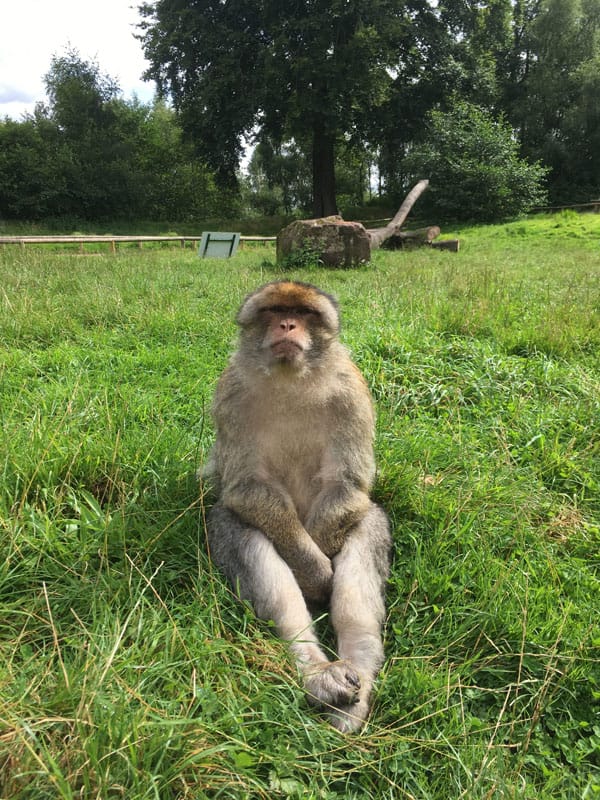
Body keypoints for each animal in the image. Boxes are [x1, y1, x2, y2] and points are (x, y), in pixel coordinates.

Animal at [205, 280, 394, 732]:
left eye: (304, 313)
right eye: (274, 311)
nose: (288, 325)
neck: (291, 380)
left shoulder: (352, 391)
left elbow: (348, 484)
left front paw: (320, 571)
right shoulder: (230, 392)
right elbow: (245, 488)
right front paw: (312, 572)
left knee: (366, 523)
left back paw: (358, 672)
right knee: (234, 524)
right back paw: (317, 672)